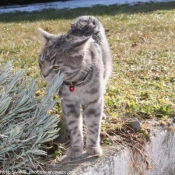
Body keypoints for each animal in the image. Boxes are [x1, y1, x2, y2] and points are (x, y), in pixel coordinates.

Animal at [38, 15, 112, 159]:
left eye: (56, 66)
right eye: (42, 61)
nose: (44, 74)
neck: (76, 85)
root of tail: (86, 17)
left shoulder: (93, 101)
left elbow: (94, 125)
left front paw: (93, 147)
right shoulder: (69, 103)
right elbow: (74, 127)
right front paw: (76, 148)